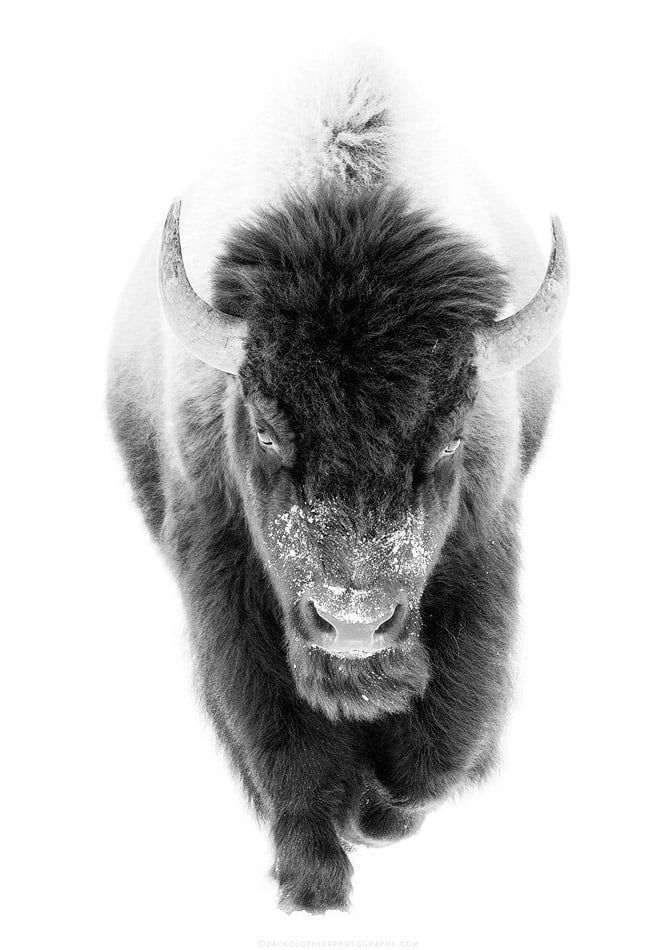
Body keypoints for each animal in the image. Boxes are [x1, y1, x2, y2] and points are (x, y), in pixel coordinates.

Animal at [108, 66, 568, 912]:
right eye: (264, 428)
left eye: (450, 435)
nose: (353, 623)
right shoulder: (227, 577)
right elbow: (284, 738)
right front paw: (314, 881)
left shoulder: (479, 555)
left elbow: (438, 746)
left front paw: (383, 815)